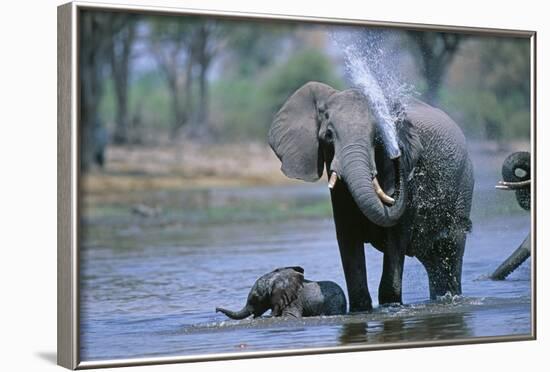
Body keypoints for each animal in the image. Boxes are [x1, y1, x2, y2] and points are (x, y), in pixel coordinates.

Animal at [270, 81, 476, 310]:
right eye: (328, 135)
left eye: (377, 137)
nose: (397, 153)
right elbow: (348, 237)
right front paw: (360, 309)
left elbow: (396, 237)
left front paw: (391, 306)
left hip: (463, 185)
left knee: (450, 249)